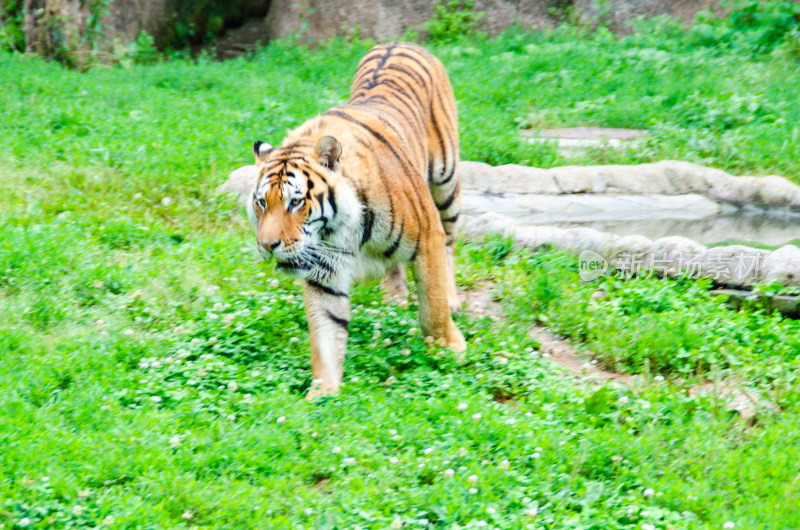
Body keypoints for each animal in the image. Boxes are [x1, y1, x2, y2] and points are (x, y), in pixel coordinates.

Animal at [247, 41, 466, 396]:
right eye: (262, 203)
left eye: (296, 202)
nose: (268, 245)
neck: (341, 229)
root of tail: (399, 42)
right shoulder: (323, 272)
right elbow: (325, 334)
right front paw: (322, 393)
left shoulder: (427, 235)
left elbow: (432, 305)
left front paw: (449, 348)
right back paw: (394, 299)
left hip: (446, 183)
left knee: (450, 241)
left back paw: (452, 299)